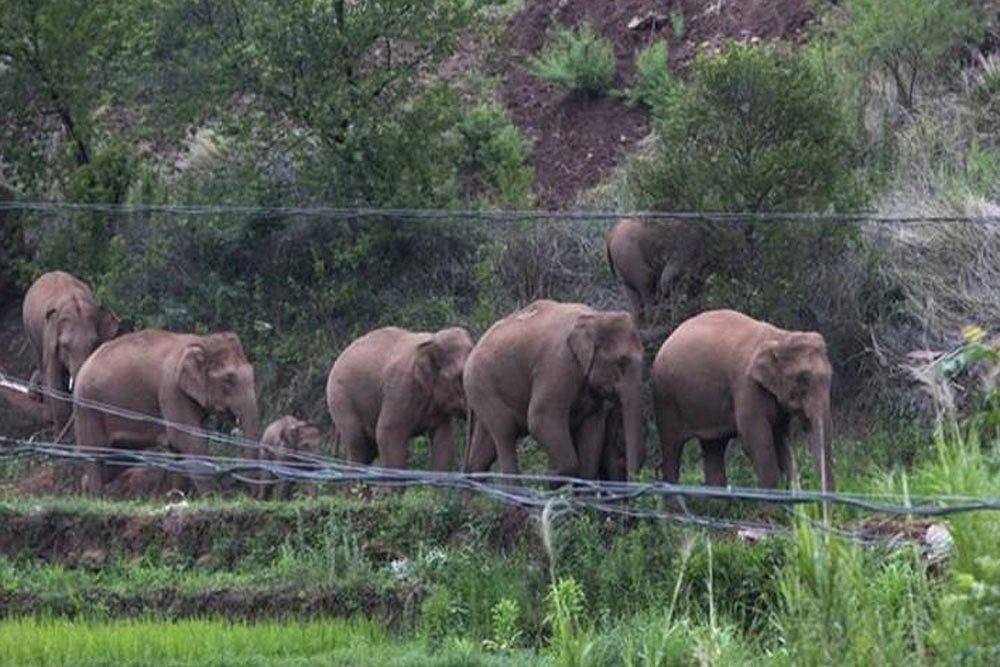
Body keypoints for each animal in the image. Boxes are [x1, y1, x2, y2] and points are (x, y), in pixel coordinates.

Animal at [22, 270, 121, 433]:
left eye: (94, 343)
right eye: (65, 345)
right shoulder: (50, 339)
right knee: (41, 362)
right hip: (30, 330)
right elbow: (54, 379)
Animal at [73, 329, 261, 494]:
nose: (252, 496)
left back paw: (88, 488)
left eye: (253, 372)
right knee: (95, 455)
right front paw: (212, 497)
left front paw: (177, 496)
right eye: (229, 379)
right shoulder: (171, 388)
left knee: (117, 459)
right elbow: (188, 439)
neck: (201, 341)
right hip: (88, 406)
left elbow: (186, 442)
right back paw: (96, 495)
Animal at [325, 326, 474, 471]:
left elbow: (444, 441)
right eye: (459, 377)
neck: (432, 339)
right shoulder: (400, 388)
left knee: (370, 449)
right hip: (340, 398)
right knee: (359, 445)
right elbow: (387, 434)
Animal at [463, 299, 645, 480]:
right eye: (621, 362)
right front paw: (551, 476)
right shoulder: (558, 364)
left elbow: (592, 428)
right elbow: (540, 418)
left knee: (484, 451)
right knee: (505, 431)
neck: (597, 317)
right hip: (481, 386)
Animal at [652, 309, 834, 492]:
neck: (780, 337)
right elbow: (754, 441)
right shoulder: (746, 386)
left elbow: (780, 437)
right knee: (672, 448)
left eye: (830, 376)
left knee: (713, 447)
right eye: (803, 379)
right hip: (666, 398)